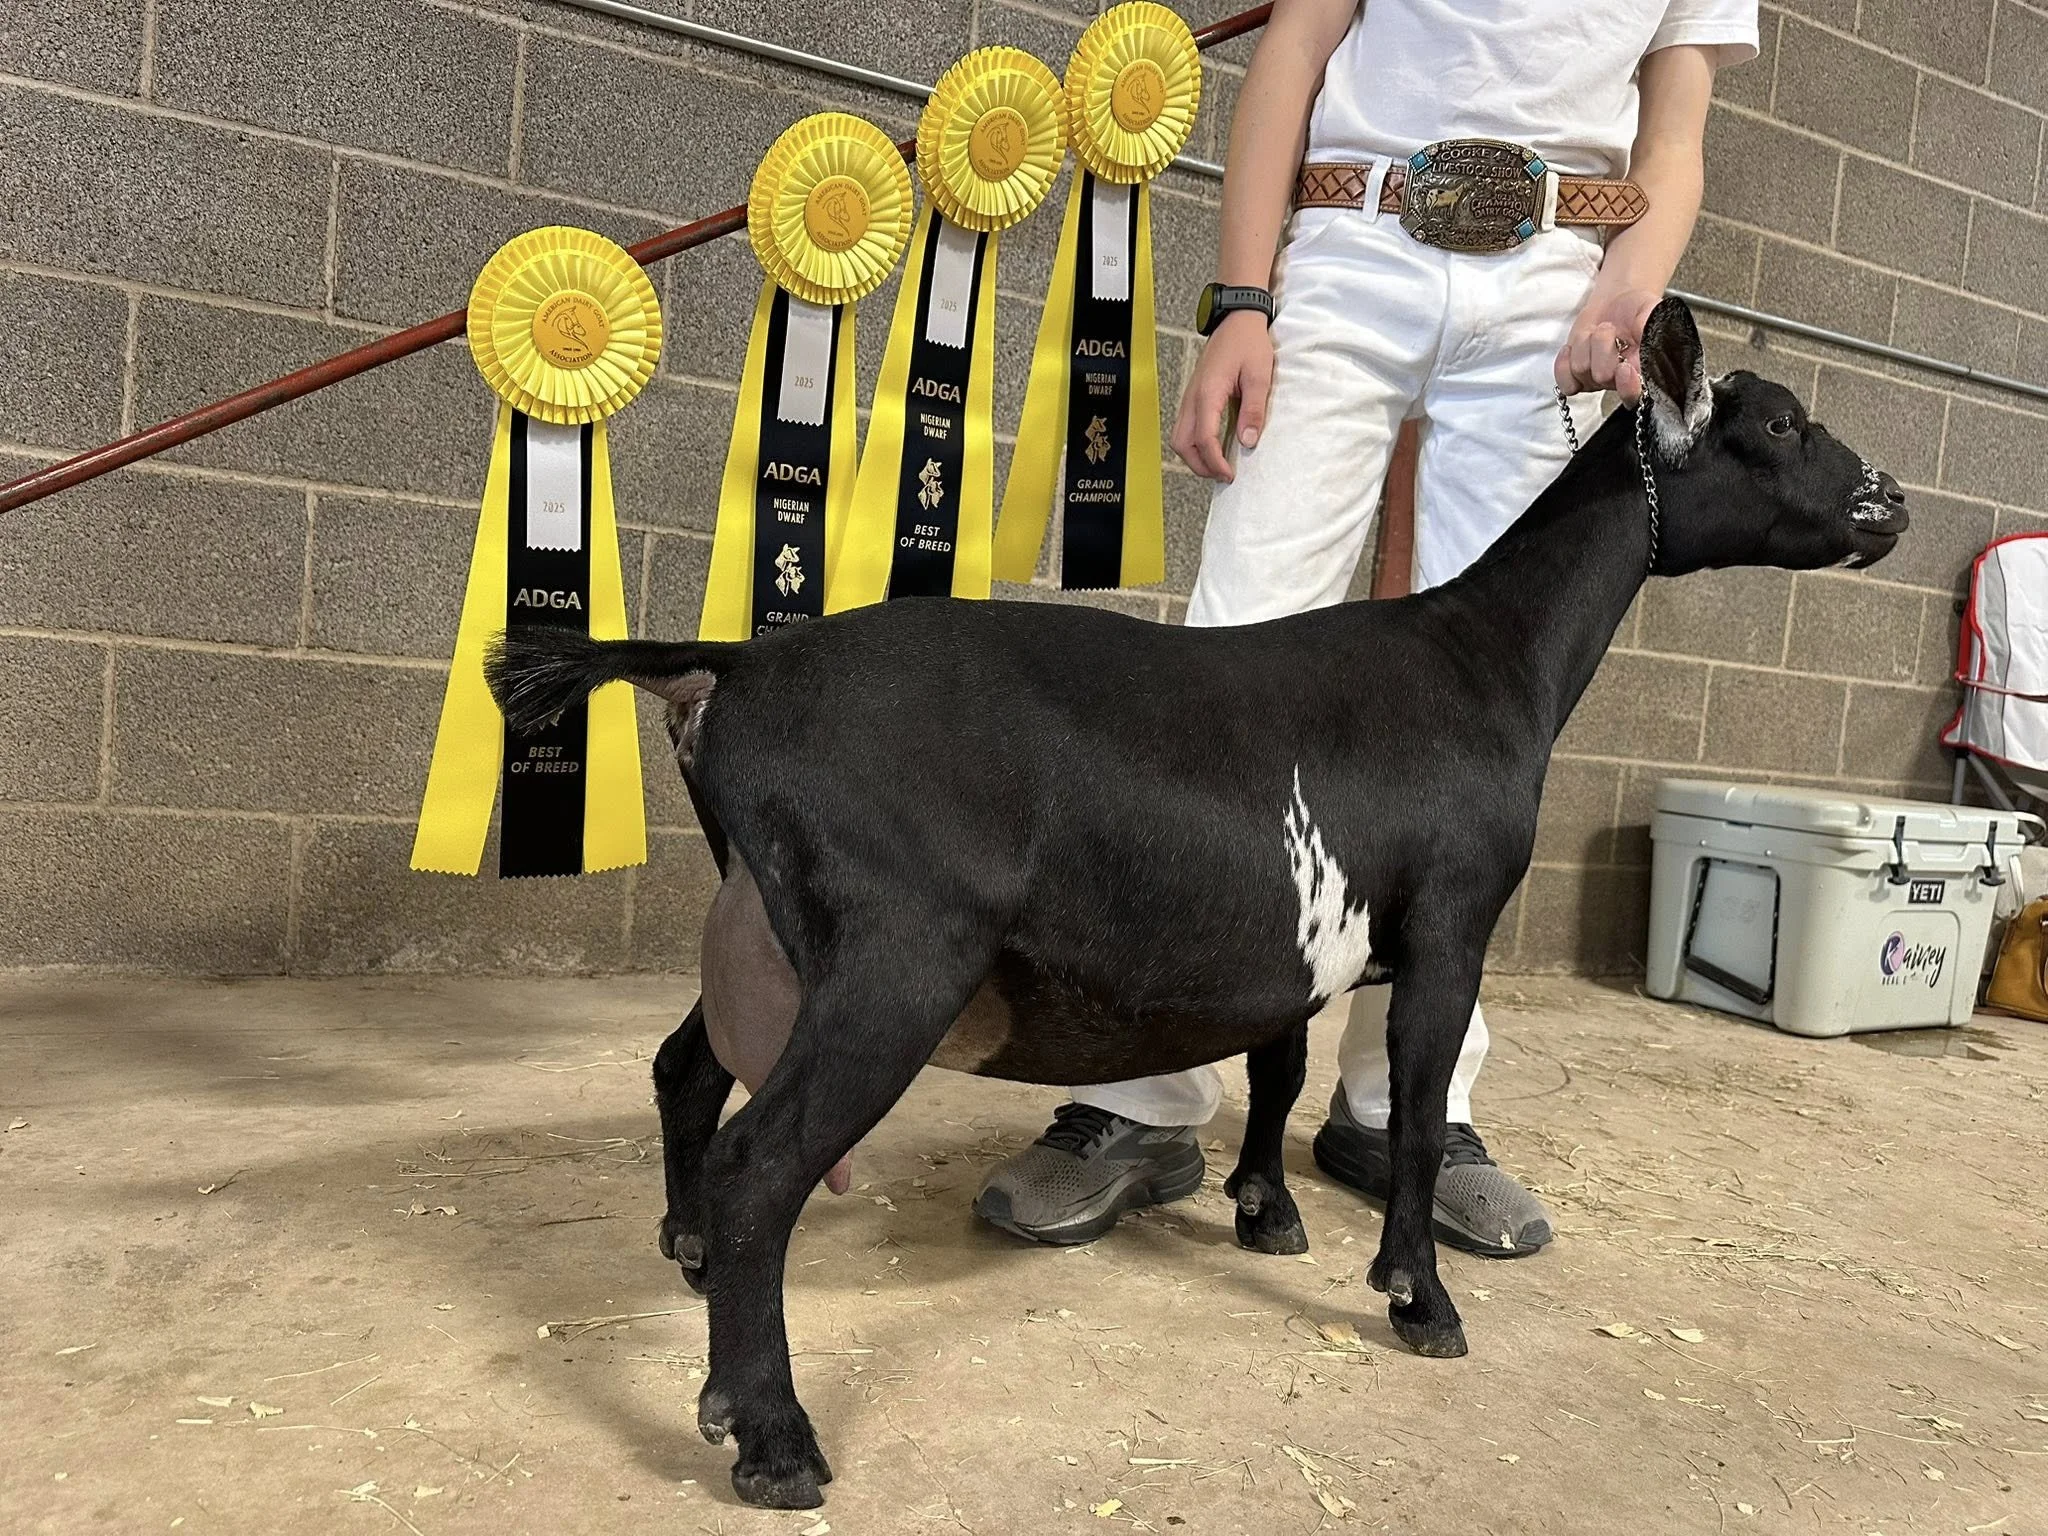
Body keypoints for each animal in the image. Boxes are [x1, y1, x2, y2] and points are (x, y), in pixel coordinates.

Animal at [487, 299, 1907, 1509]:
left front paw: (1266, 1211)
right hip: (895, 954)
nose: (1888, 500)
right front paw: (1416, 1299)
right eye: (1780, 425)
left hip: (772, 929)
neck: (1484, 659)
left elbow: (1277, 1064)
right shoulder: (1450, 920)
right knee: (761, 1162)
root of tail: (728, 669)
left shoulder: (1300, 935)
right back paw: (772, 1437)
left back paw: (684, 1259)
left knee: (683, 1070)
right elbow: (1408, 1105)